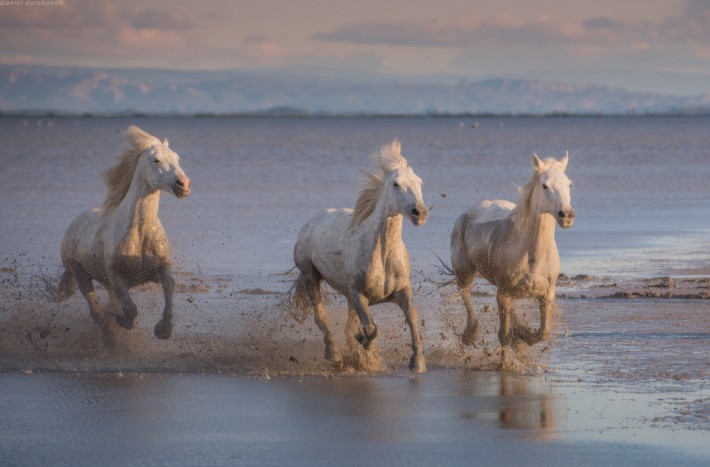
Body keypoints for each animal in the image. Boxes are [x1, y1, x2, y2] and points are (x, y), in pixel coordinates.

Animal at [50, 126, 192, 346]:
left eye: (177, 158)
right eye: (156, 160)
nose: (183, 185)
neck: (139, 235)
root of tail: (75, 222)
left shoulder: (160, 269)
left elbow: (169, 285)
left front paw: (163, 330)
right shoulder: (117, 278)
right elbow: (130, 309)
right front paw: (121, 321)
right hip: (80, 273)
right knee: (95, 311)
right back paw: (110, 340)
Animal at [294, 139, 428, 372]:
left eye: (419, 182)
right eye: (396, 184)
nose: (419, 212)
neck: (382, 255)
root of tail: (311, 222)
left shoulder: (401, 291)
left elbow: (412, 317)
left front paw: (417, 363)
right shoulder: (358, 294)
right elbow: (370, 328)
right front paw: (363, 345)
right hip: (310, 275)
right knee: (321, 316)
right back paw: (334, 354)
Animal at [454, 154, 576, 352]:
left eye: (569, 184)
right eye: (545, 185)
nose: (566, 215)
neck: (533, 258)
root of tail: (469, 211)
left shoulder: (547, 294)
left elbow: (543, 333)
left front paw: (523, 336)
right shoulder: (503, 294)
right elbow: (503, 336)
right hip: (464, 272)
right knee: (465, 292)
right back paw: (470, 334)